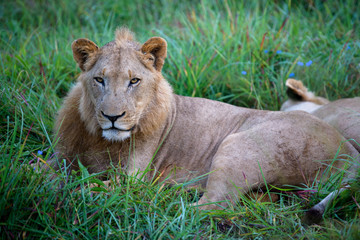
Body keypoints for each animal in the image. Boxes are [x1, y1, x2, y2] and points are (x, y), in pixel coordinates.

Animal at [50, 28, 358, 216]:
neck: (100, 138)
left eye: (134, 81)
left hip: (237, 145)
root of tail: (350, 153)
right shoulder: (61, 156)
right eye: (99, 79)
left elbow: (84, 187)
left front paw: (66, 192)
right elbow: (45, 171)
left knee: (214, 206)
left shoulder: (132, 177)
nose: (113, 117)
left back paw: (166, 200)